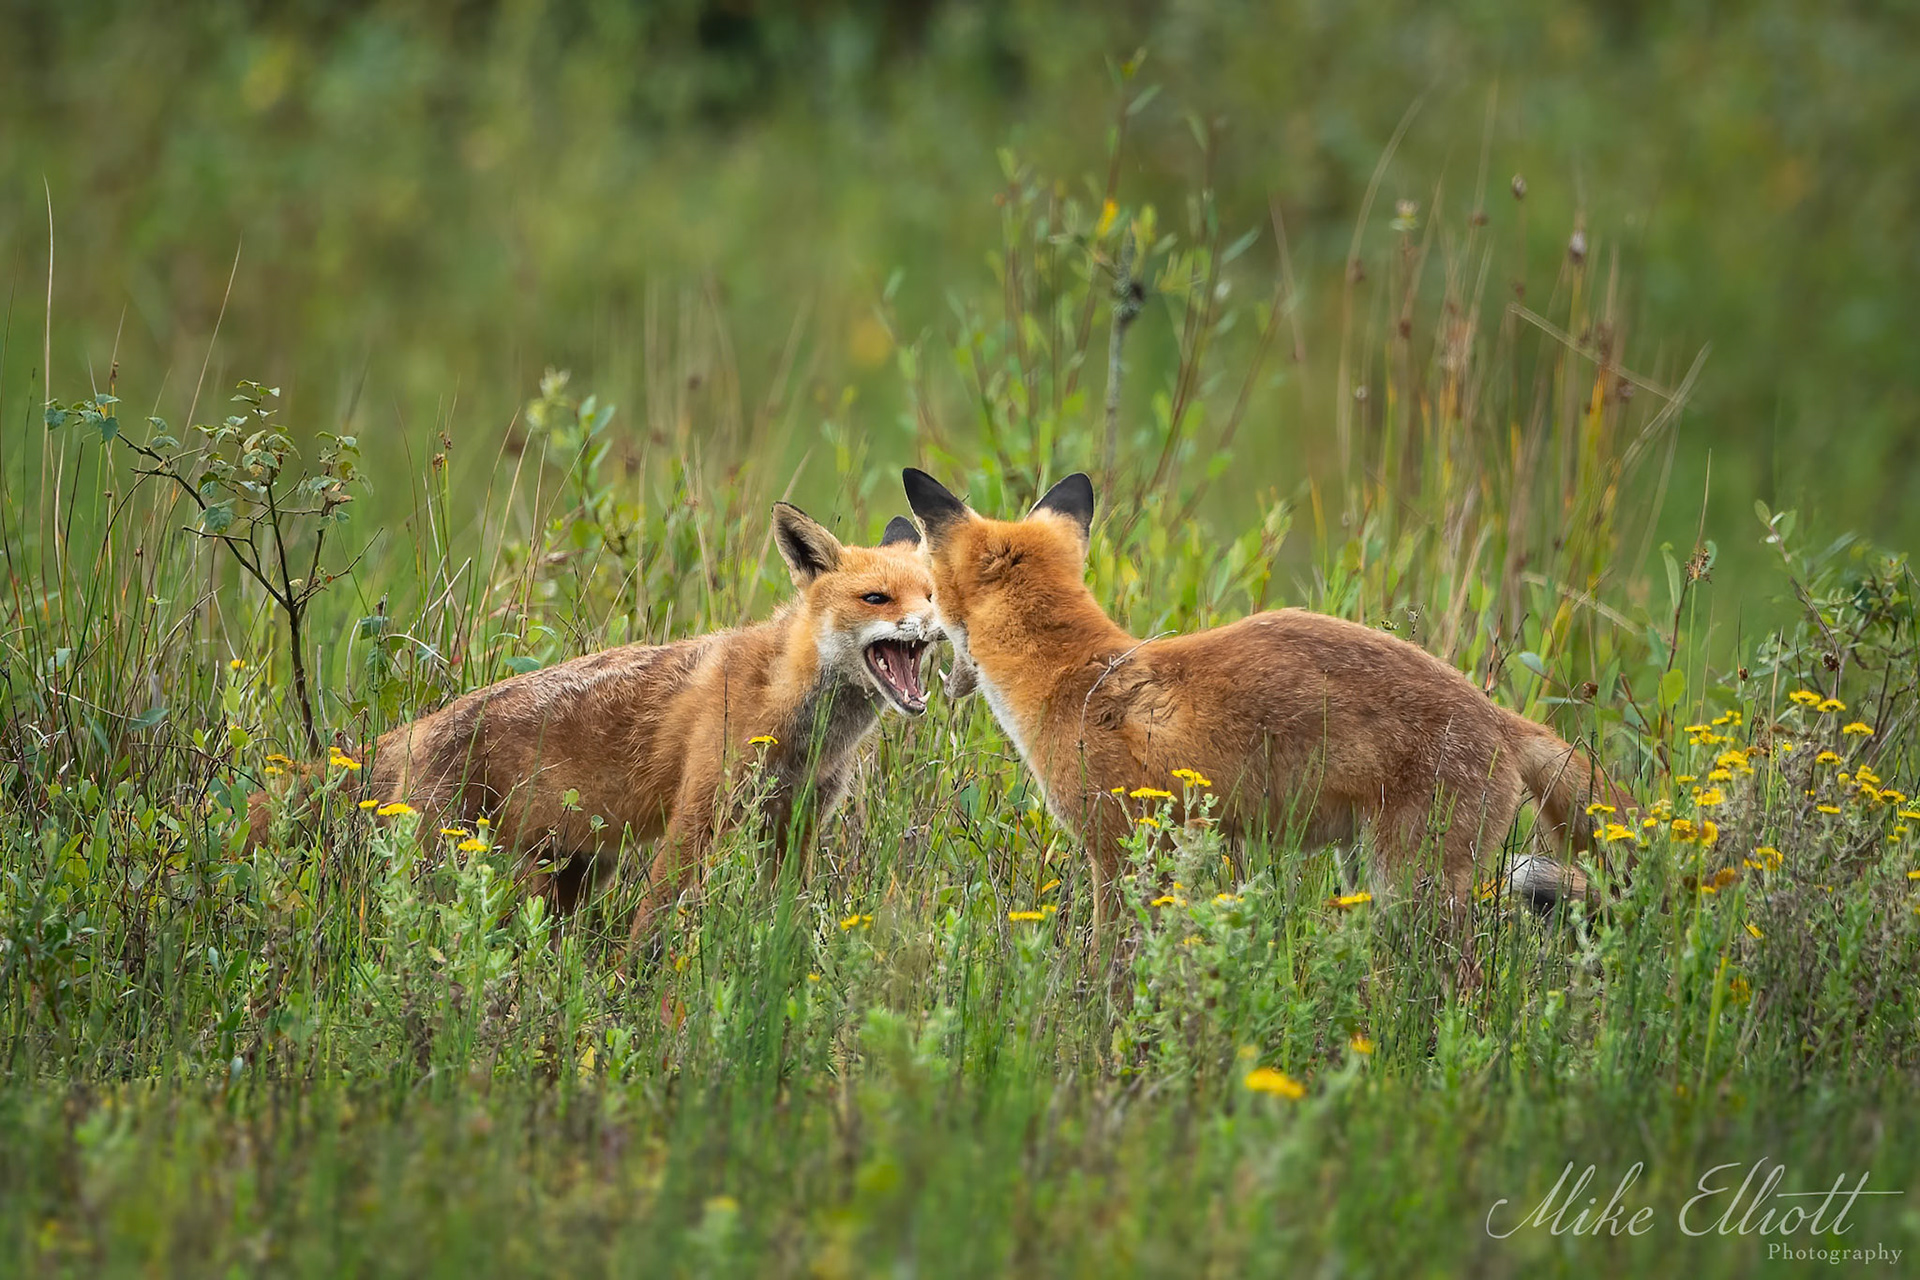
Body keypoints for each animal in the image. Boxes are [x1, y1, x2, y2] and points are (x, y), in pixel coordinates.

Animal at [247, 502, 940, 943]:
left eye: (930, 593)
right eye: (876, 598)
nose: (935, 626)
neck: (800, 720)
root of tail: (423, 724)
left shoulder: (797, 825)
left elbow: (787, 920)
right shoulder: (699, 815)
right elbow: (655, 927)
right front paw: (649, 1006)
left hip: (571, 879)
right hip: (445, 868)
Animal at [901, 467, 1631, 962]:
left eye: (932, 593)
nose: (938, 674)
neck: (1078, 677)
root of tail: (1501, 716)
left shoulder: (1121, 852)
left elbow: (1112, 964)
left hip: (1413, 890)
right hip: (1369, 875)